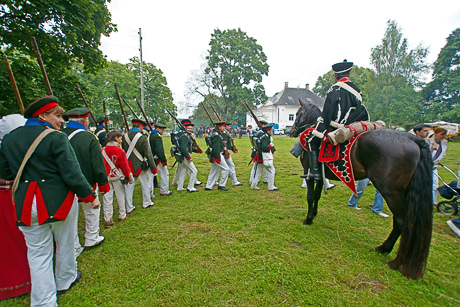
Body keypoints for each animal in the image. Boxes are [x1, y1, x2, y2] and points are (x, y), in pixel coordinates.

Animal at [292, 100, 434, 280]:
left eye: (297, 114)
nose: (291, 130)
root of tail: (411, 137)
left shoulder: (309, 173)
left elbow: (311, 196)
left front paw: (308, 219)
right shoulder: (319, 175)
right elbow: (317, 196)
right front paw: (314, 215)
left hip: (391, 192)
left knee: (402, 221)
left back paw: (389, 254)